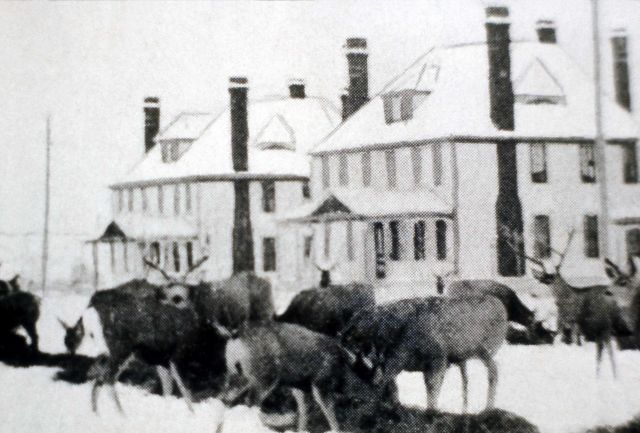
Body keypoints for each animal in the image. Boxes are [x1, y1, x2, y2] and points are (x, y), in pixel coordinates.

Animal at [502, 224, 632, 376]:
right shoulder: (567, 320)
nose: (543, 281)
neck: (567, 297)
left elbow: (571, 340)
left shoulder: (573, 319)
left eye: (550, 278)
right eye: (545, 278)